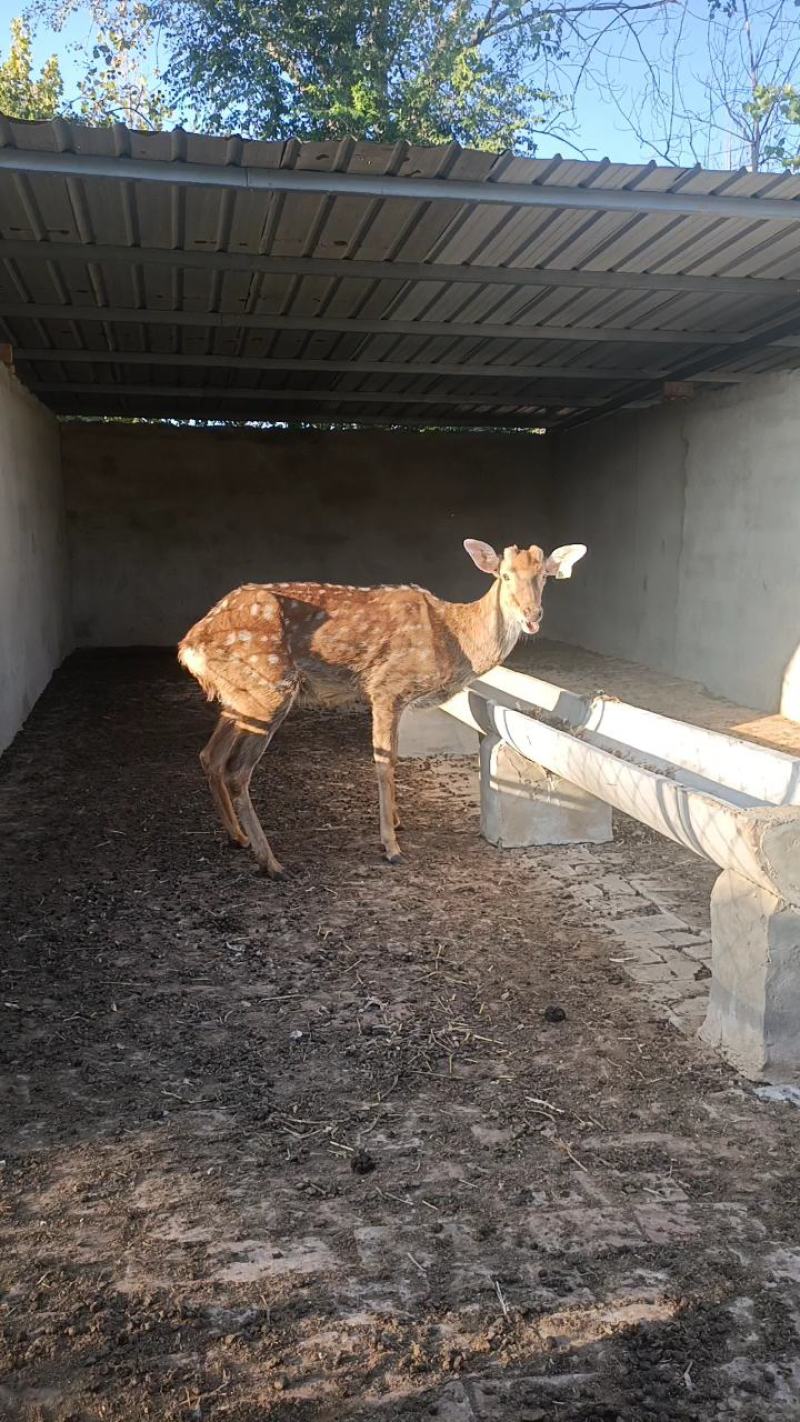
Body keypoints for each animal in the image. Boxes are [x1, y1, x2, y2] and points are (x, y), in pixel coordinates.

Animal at [178, 539, 586, 879]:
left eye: (545, 577)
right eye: (504, 574)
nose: (532, 615)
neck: (456, 639)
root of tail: (189, 646)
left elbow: (394, 757)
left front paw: (397, 822)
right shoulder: (387, 687)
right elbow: (383, 761)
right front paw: (391, 846)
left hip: (239, 696)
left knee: (210, 755)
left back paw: (238, 838)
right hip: (269, 685)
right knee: (236, 770)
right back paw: (272, 862)